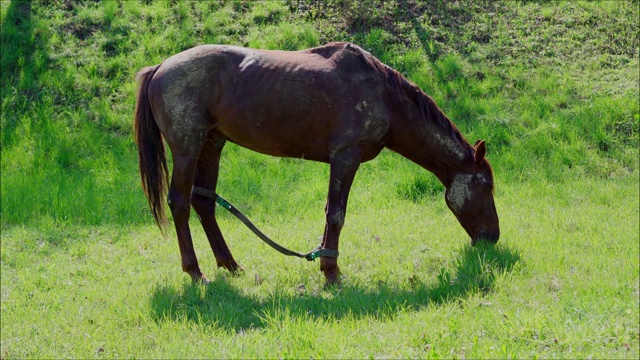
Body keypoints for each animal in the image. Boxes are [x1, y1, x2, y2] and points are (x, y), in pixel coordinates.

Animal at [132, 42, 498, 286]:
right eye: (484, 186)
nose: (492, 237)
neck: (384, 96)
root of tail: (160, 67)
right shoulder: (346, 158)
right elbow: (336, 214)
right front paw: (332, 273)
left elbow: (328, 215)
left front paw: (324, 261)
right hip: (188, 148)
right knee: (180, 203)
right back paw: (195, 272)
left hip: (211, 144)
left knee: (204, 203)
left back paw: (230, 265)